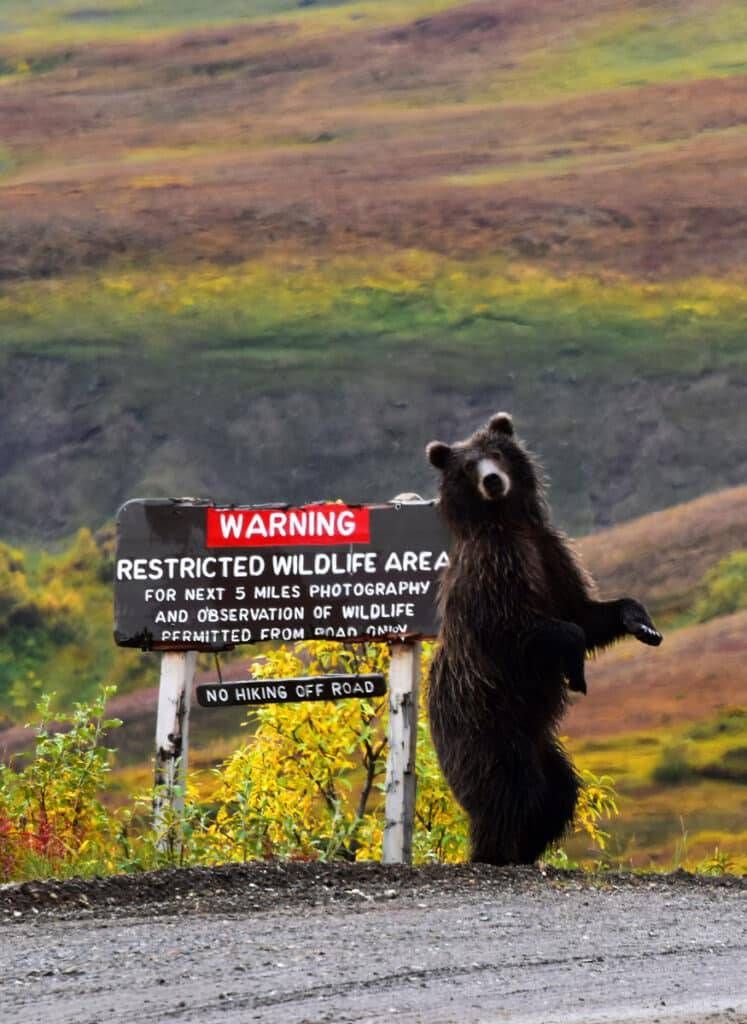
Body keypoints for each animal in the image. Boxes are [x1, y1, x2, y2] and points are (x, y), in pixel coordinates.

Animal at [426, 411, 662, 865]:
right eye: (468, 466)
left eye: (497, 452)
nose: (493, 481)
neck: (507, 523)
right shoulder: (494, 574)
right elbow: (533, 630)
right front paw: (576, 671)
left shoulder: (551, 554)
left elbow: (585, 614)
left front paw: (643, 624)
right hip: (486, 725)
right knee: (507, 790)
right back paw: (493, 852)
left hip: (541, 742)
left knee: (558, 794)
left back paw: (527, 849)